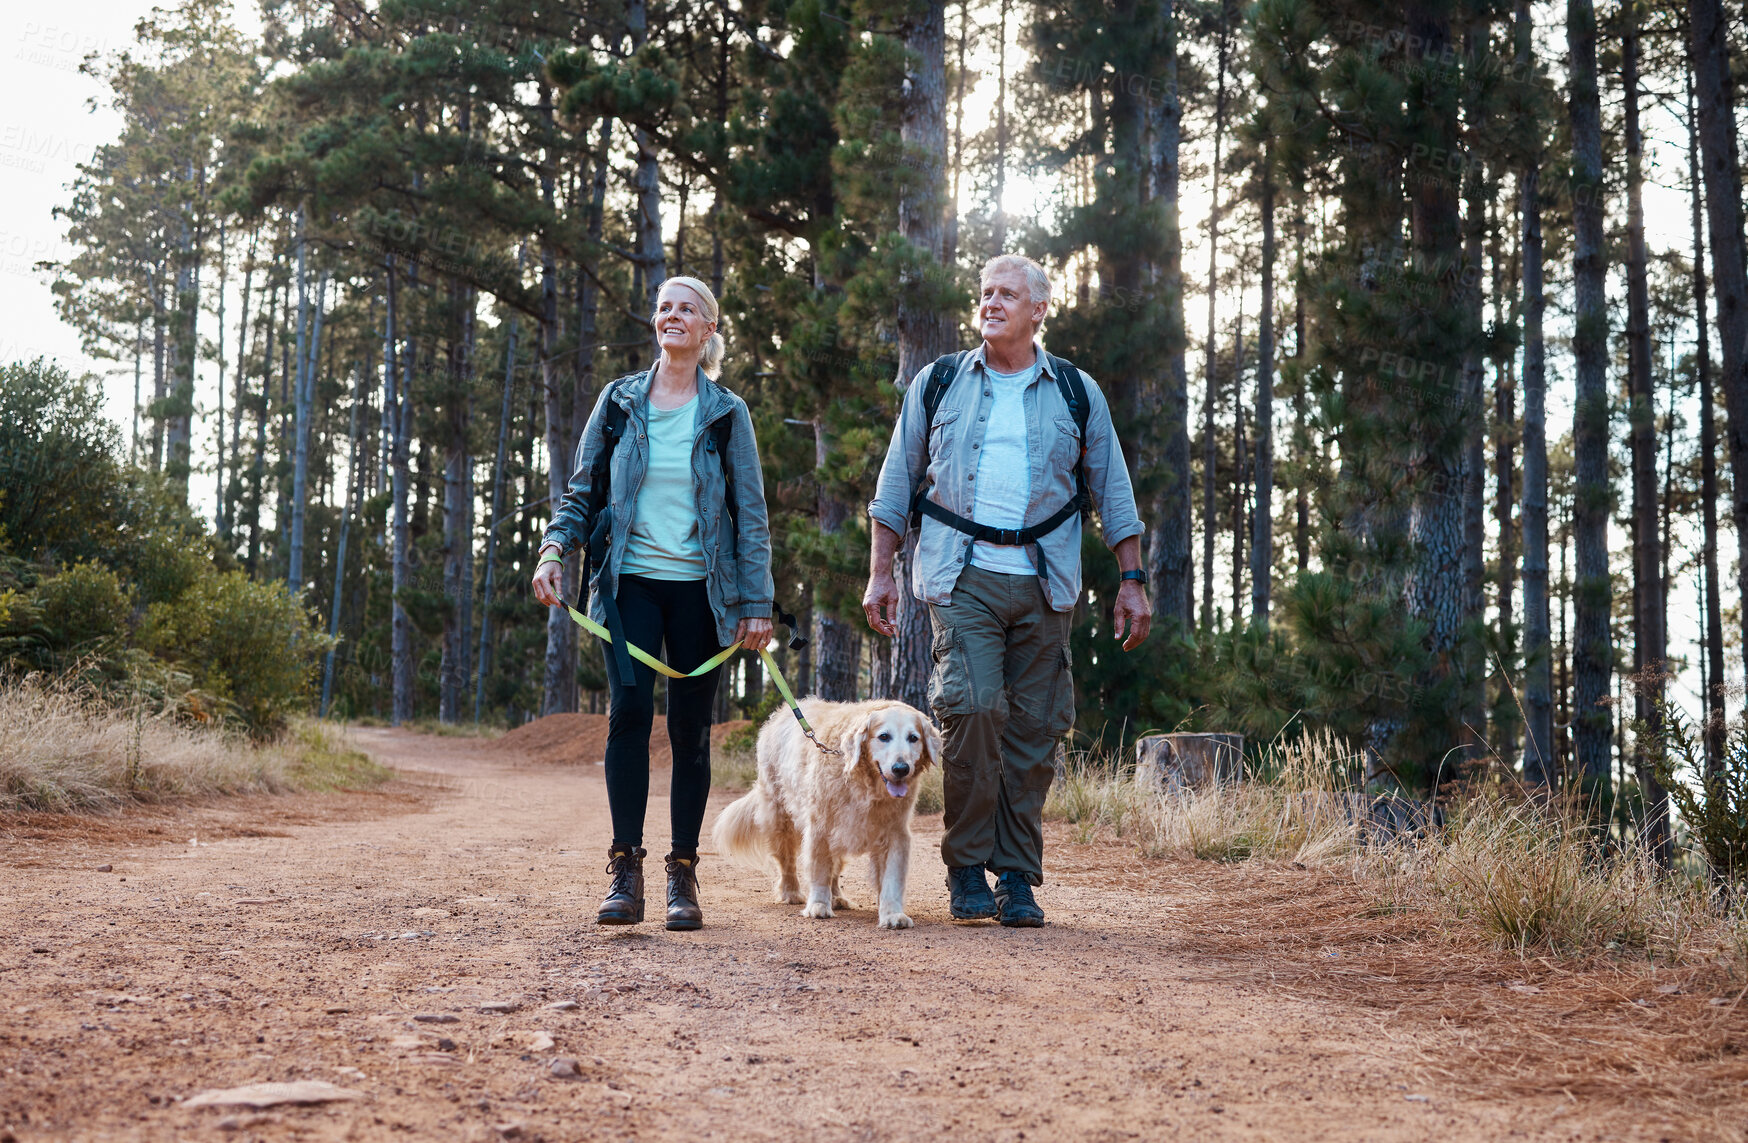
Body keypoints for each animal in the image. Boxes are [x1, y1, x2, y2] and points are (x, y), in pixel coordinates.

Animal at [706, 699, 936, 929]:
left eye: (913, 738)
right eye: (884, 736)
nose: (901, 768)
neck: (864, 784)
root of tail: (779, 714)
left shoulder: (895, 833)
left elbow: (891, 879)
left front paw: (892, 914)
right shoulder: (820, 827)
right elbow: (819, 871)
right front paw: (817, 905)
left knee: (834, 870)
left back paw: (836, 897)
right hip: (780, 820)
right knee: (787, 862)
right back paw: (791, 892)